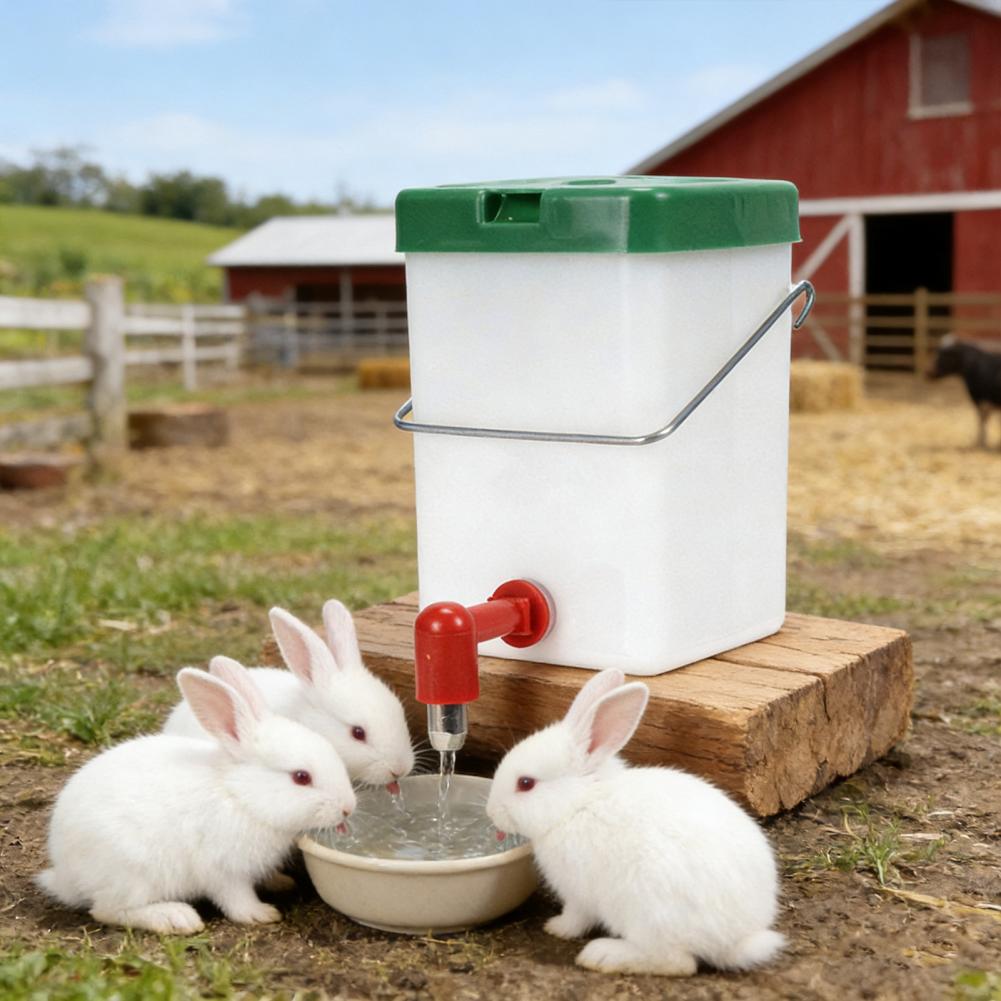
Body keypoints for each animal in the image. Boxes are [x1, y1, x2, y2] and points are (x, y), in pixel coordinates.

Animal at [37, 661, 356, 934]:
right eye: (301, 777)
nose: (348, 807)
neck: (241, 796)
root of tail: (66, 874)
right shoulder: (223, 870)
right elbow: (236, 898)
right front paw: (260, 914)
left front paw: (279, 882)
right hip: (132, 874)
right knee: (108, 911)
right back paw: (175, 918)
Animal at [486, 669, 785, 977]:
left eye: (525, 783)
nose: (491, 812)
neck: (577, 804)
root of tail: (736, 939)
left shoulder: (578, 894)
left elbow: (576, 917)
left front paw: (557, 928)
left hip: (649, 912)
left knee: (677, 962)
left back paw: (602, 955)